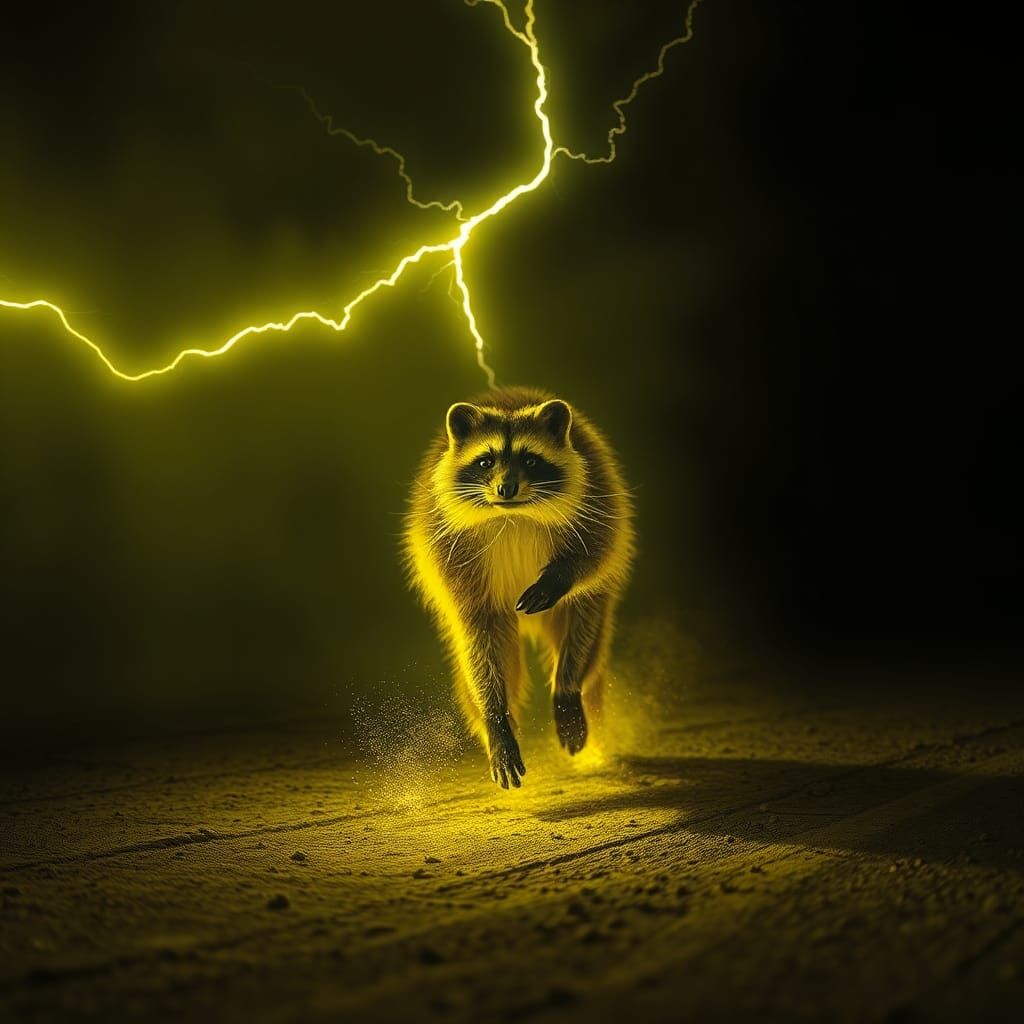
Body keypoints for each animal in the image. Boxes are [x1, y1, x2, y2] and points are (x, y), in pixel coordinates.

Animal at [404, 387, 635, 787]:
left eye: (530, 459)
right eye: (485, 462)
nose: (506, 488)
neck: (514, 514)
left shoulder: (599, 495)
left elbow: (597, 552)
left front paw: (559, 576)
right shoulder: (444, 546)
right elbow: (480, 646)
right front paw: (495, 720)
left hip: (588, 606)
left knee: (583, 631)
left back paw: (568, 686)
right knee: (482, 653)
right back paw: (497, 721)